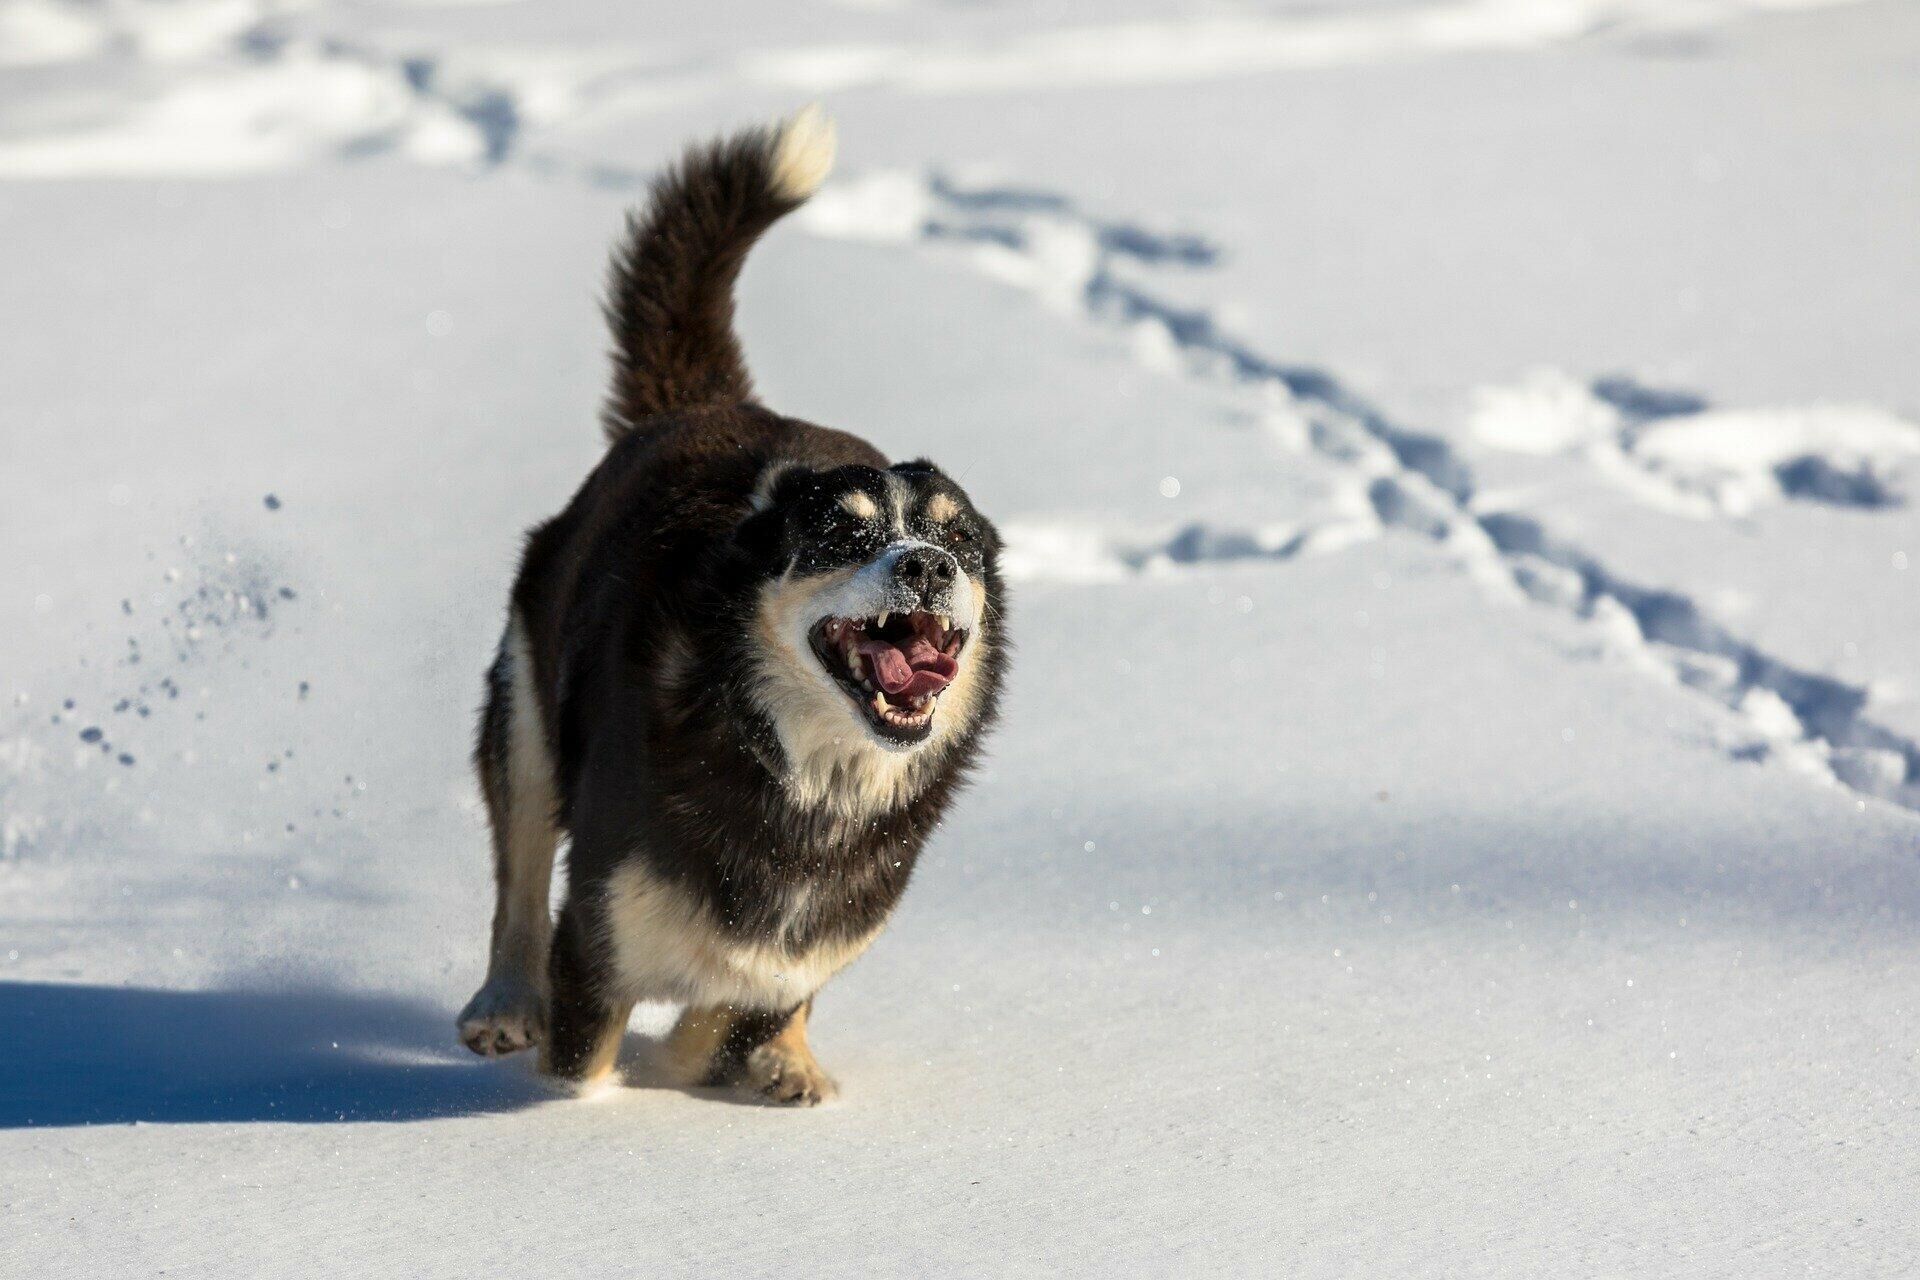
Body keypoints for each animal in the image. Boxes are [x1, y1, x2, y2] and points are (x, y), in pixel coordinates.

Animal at [458, 110, 1013, 1105]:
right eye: (841, 534)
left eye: (962, 542)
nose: (926, 567)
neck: (809, 779)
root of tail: (708, 408)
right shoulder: (598, 938)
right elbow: (586, 1059)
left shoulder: (812, 938)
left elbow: (737, 1006)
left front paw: (744, 1058)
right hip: (525, 712)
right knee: (517, 879)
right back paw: (503, 1001)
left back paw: (787, 1061)